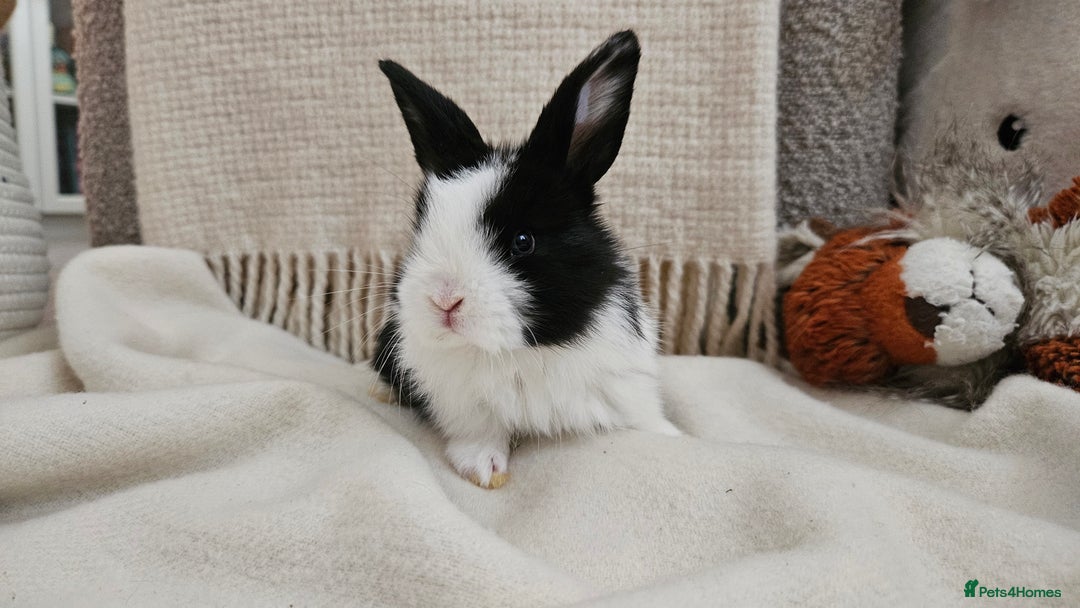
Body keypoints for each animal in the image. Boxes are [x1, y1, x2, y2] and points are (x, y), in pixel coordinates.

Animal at [371, 30, 680, 489]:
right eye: (422, 228)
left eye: (522, 241)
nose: (444, 301)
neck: (516, 352)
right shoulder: (462, 402)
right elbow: (480, 430)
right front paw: (483, 468)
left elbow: (644, 416)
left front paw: (672, 435)